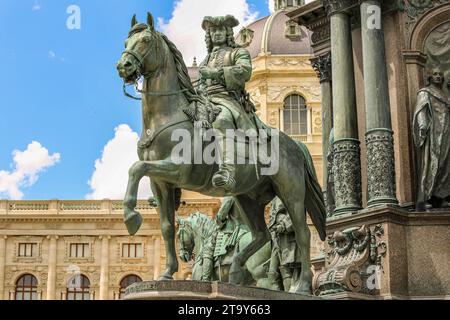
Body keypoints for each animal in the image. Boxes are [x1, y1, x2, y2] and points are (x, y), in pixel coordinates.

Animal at [116, 13, 326, 296]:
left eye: (145, 40)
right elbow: (166, 225)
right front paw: (167, 271)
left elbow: (135, 168)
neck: (169, 117)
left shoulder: (179, 170)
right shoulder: (161, 181)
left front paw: (131, 218)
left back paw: (301, 286)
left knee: (302, 233)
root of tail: (296, 144)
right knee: (261, 235)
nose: (123, 66)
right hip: (248, 196)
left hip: (291, 192)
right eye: (126, 41)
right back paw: (235, 273)